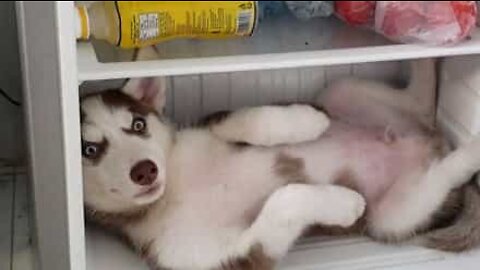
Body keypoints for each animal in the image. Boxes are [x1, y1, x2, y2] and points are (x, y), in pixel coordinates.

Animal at [80, 49, 480, 270]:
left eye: (138, 124)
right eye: (89, 150)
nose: (145, 170)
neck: (175, 190)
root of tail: (430, 139)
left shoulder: (209, 122)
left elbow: (249, 119)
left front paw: (308, 121)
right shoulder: (232, 258)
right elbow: (284, 200)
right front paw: (343, 203)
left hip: (340, 90)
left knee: (419, 101)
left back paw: (428, 55)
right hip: (397, 215)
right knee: (440, 171)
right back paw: (470, 149)